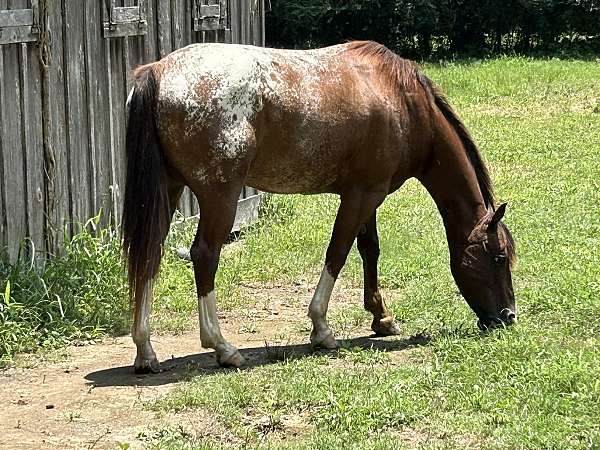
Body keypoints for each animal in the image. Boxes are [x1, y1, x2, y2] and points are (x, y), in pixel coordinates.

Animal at [120, 41, 516, 372]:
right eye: (498, 257)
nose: (508, 317)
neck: (401, 100)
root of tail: (158, 71)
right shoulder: (361, 196)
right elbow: (337, 253)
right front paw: (322, 328)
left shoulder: (368, 195)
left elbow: (369, 250)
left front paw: (381, 317)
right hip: (220, 197)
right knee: (204, 256)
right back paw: (222, 347)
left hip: (169, 190)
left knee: (150, 255)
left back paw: (145, 351)